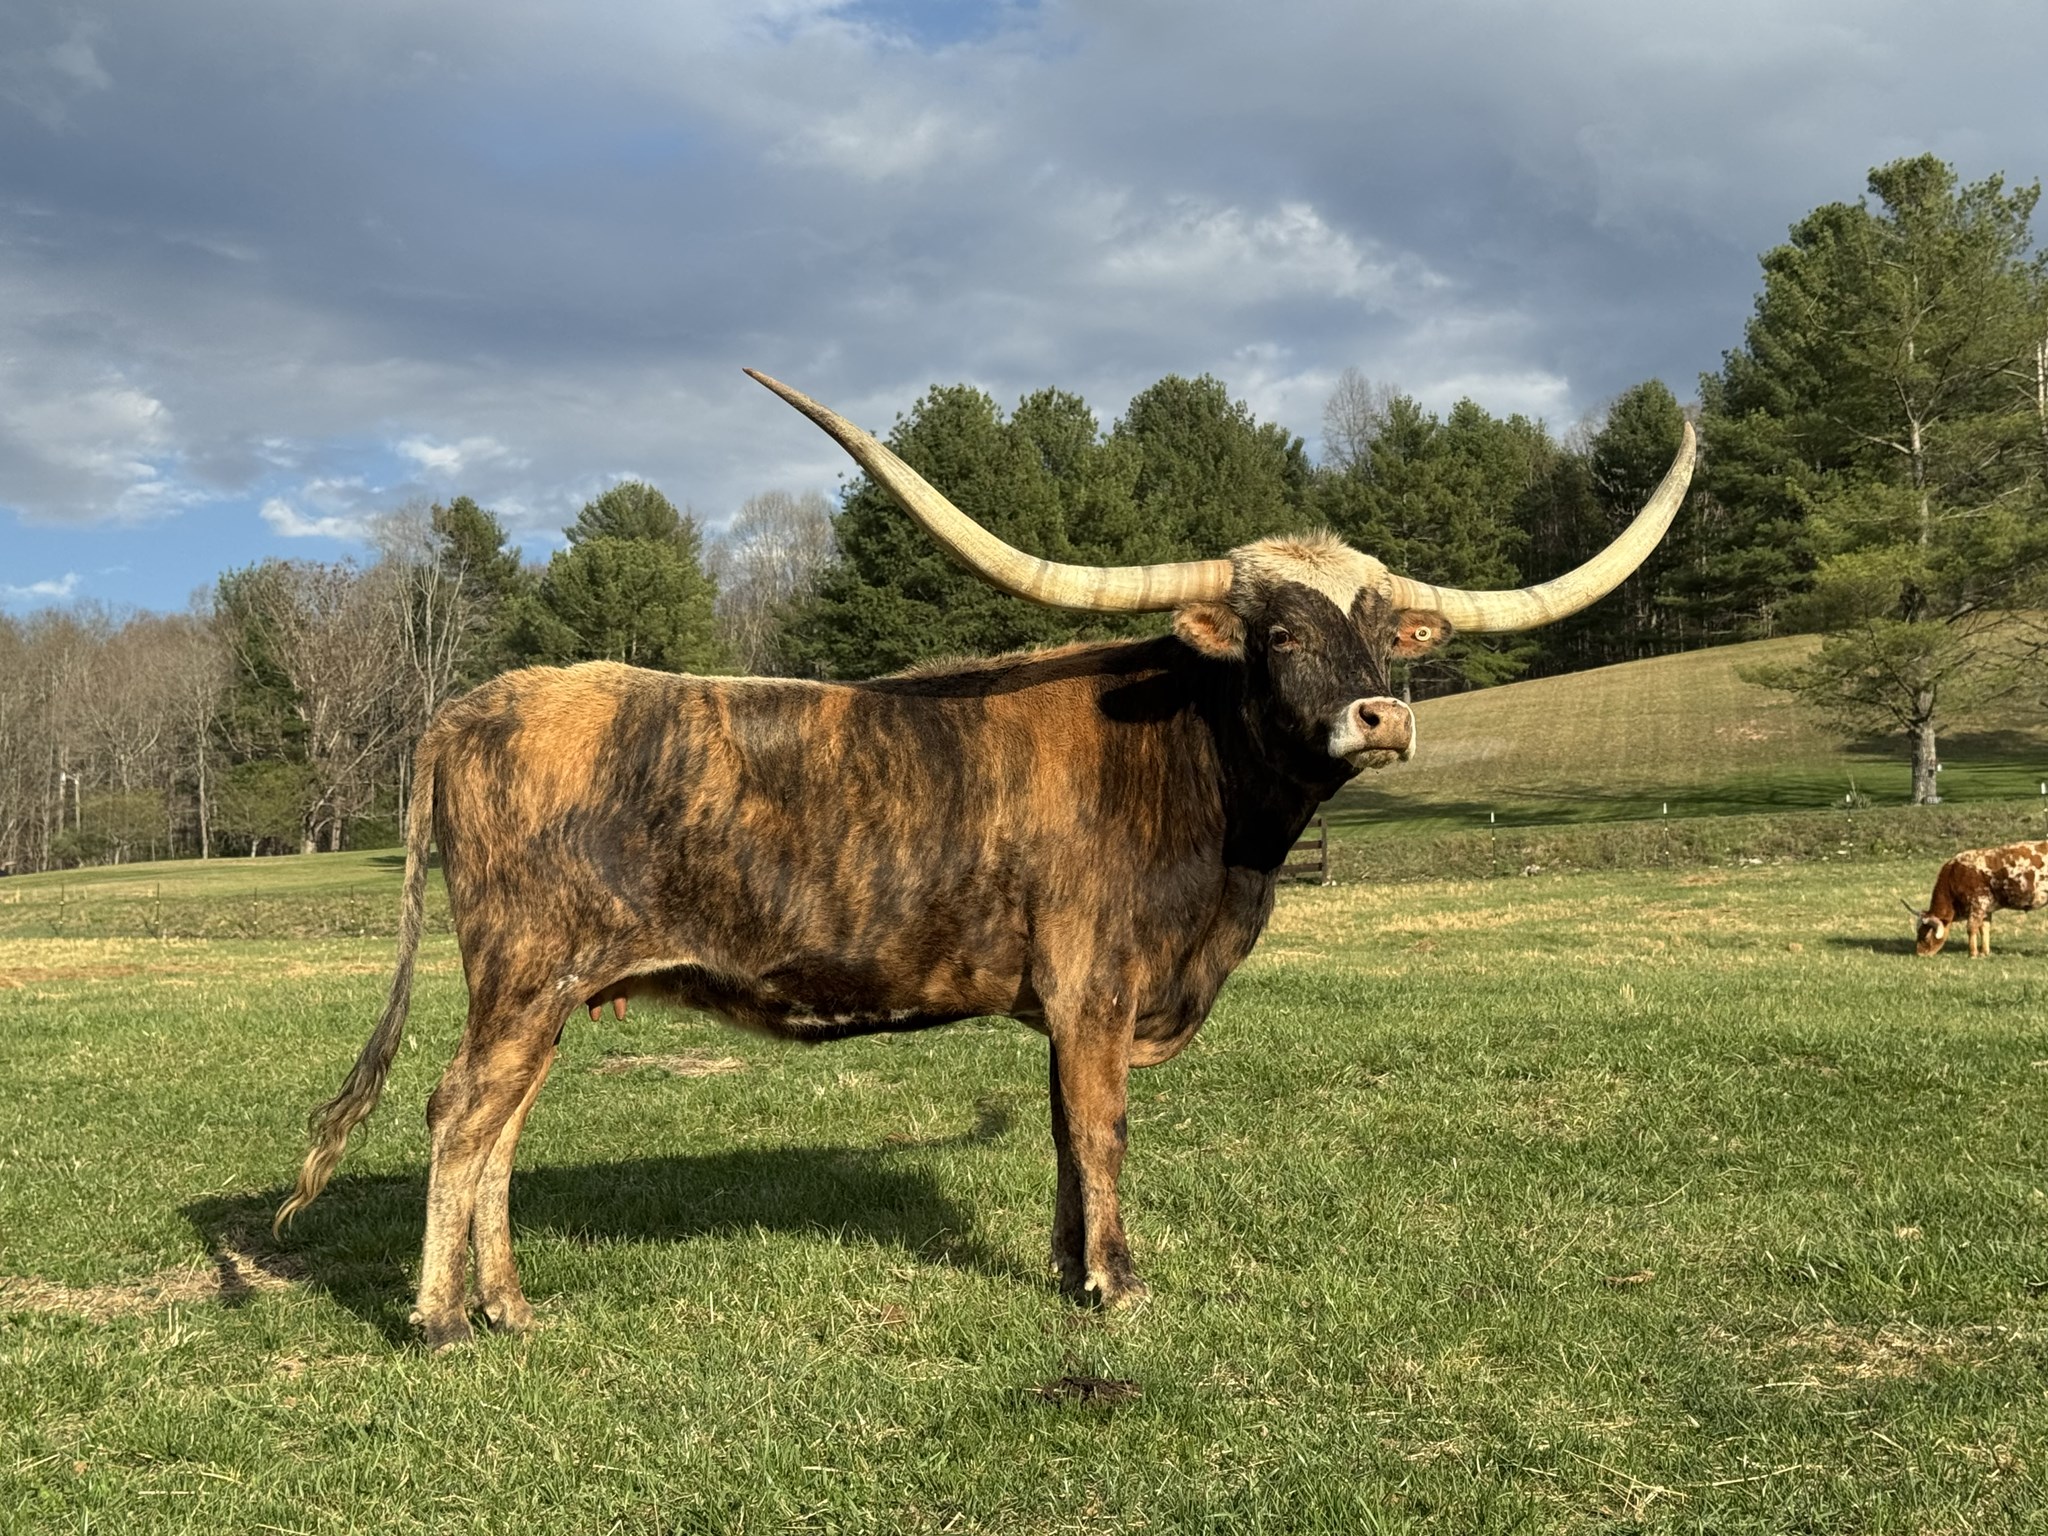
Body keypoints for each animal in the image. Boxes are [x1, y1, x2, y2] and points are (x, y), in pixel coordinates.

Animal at [276, 369, 1696, 1349]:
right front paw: (1120, 1283)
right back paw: (443, 1321)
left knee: (500, 1127)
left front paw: (1071, 1272)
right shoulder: (1092, 985)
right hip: (523, 973)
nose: (1381, 717)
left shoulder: (1075, 1005)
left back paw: (509, 1305)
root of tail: (477, 703)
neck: (1214, 836)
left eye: (1381, 630)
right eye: (1278, 632)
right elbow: (1102, 1126)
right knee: (460, 1114)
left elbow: (1069, 1132)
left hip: (551, 991)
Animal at [1905, 840, 2048, 957]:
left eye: (1925, 937)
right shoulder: (1986, 909)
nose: (1920, 953)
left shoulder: (1978, 903)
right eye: (1918, 933)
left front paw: (1973, 953)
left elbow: (1971, 928)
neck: (1954, 874)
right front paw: (1984, 952)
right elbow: (1984, 929)